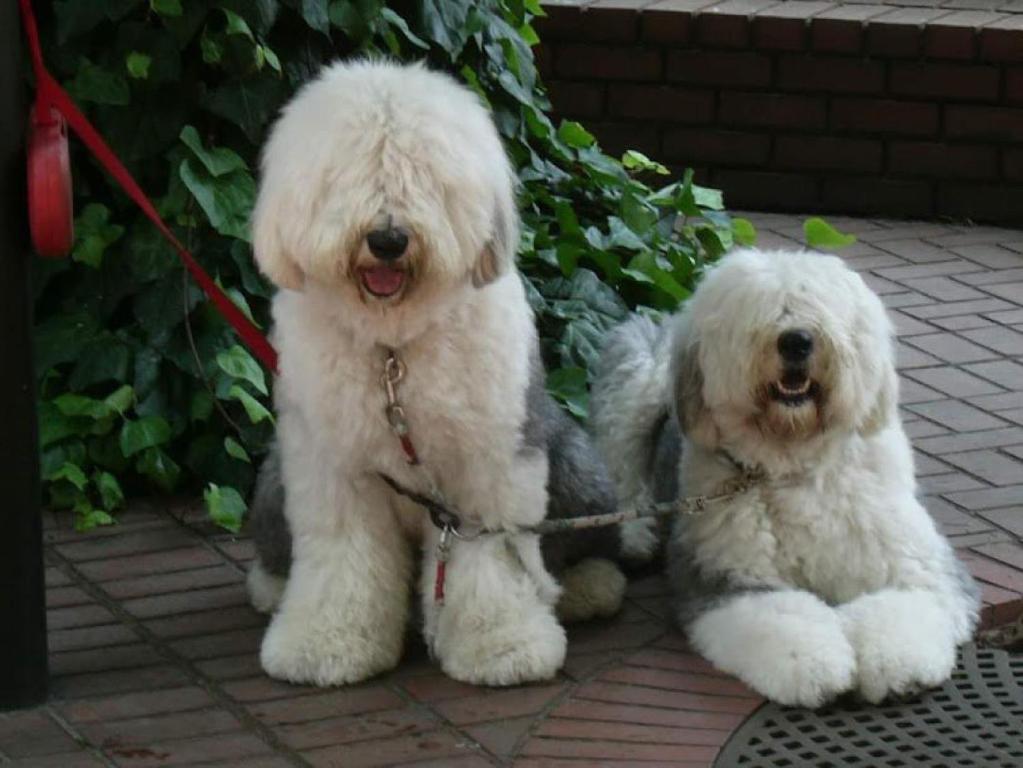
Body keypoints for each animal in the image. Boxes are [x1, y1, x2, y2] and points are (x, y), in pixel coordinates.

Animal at [246, 58, 621, 683]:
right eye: (347, 172)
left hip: (572, 459)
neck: (394, 353)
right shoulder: (334, 470)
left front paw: (503, 647)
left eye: (426, 176)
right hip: (276, 474)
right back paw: (272, 590)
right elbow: (341, 556)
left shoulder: (488, 464)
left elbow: (493, 560)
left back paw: (588, 588)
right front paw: (324, 645)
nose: (387, 239)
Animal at [593, 249, 982, 711]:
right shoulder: (728, 577)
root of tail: (669, 316)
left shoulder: (920, 565)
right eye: (758, 308)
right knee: (622, 466)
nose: (796, 341)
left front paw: (896, 664)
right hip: (636, 379)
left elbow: (908, 603)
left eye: (820, 304)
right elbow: (782, 617)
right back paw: (637, 537)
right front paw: (816, 666)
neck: (797, 466)